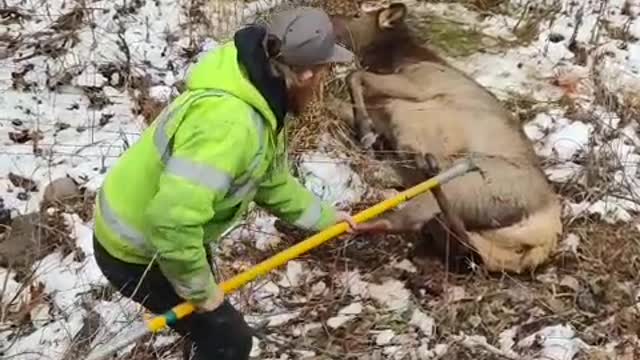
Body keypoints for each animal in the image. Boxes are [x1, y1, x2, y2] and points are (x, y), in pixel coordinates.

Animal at [328, 2, 564, 272]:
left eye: (357, 15)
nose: (328, 18)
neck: (395, 58)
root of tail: (550, 227)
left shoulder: (415, 84)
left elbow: (355, 76)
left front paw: (366, 132)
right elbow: (338, 102)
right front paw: (366, 130)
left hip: (468, 186)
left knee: (404, 221)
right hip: (493, 238)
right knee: (469, 249)